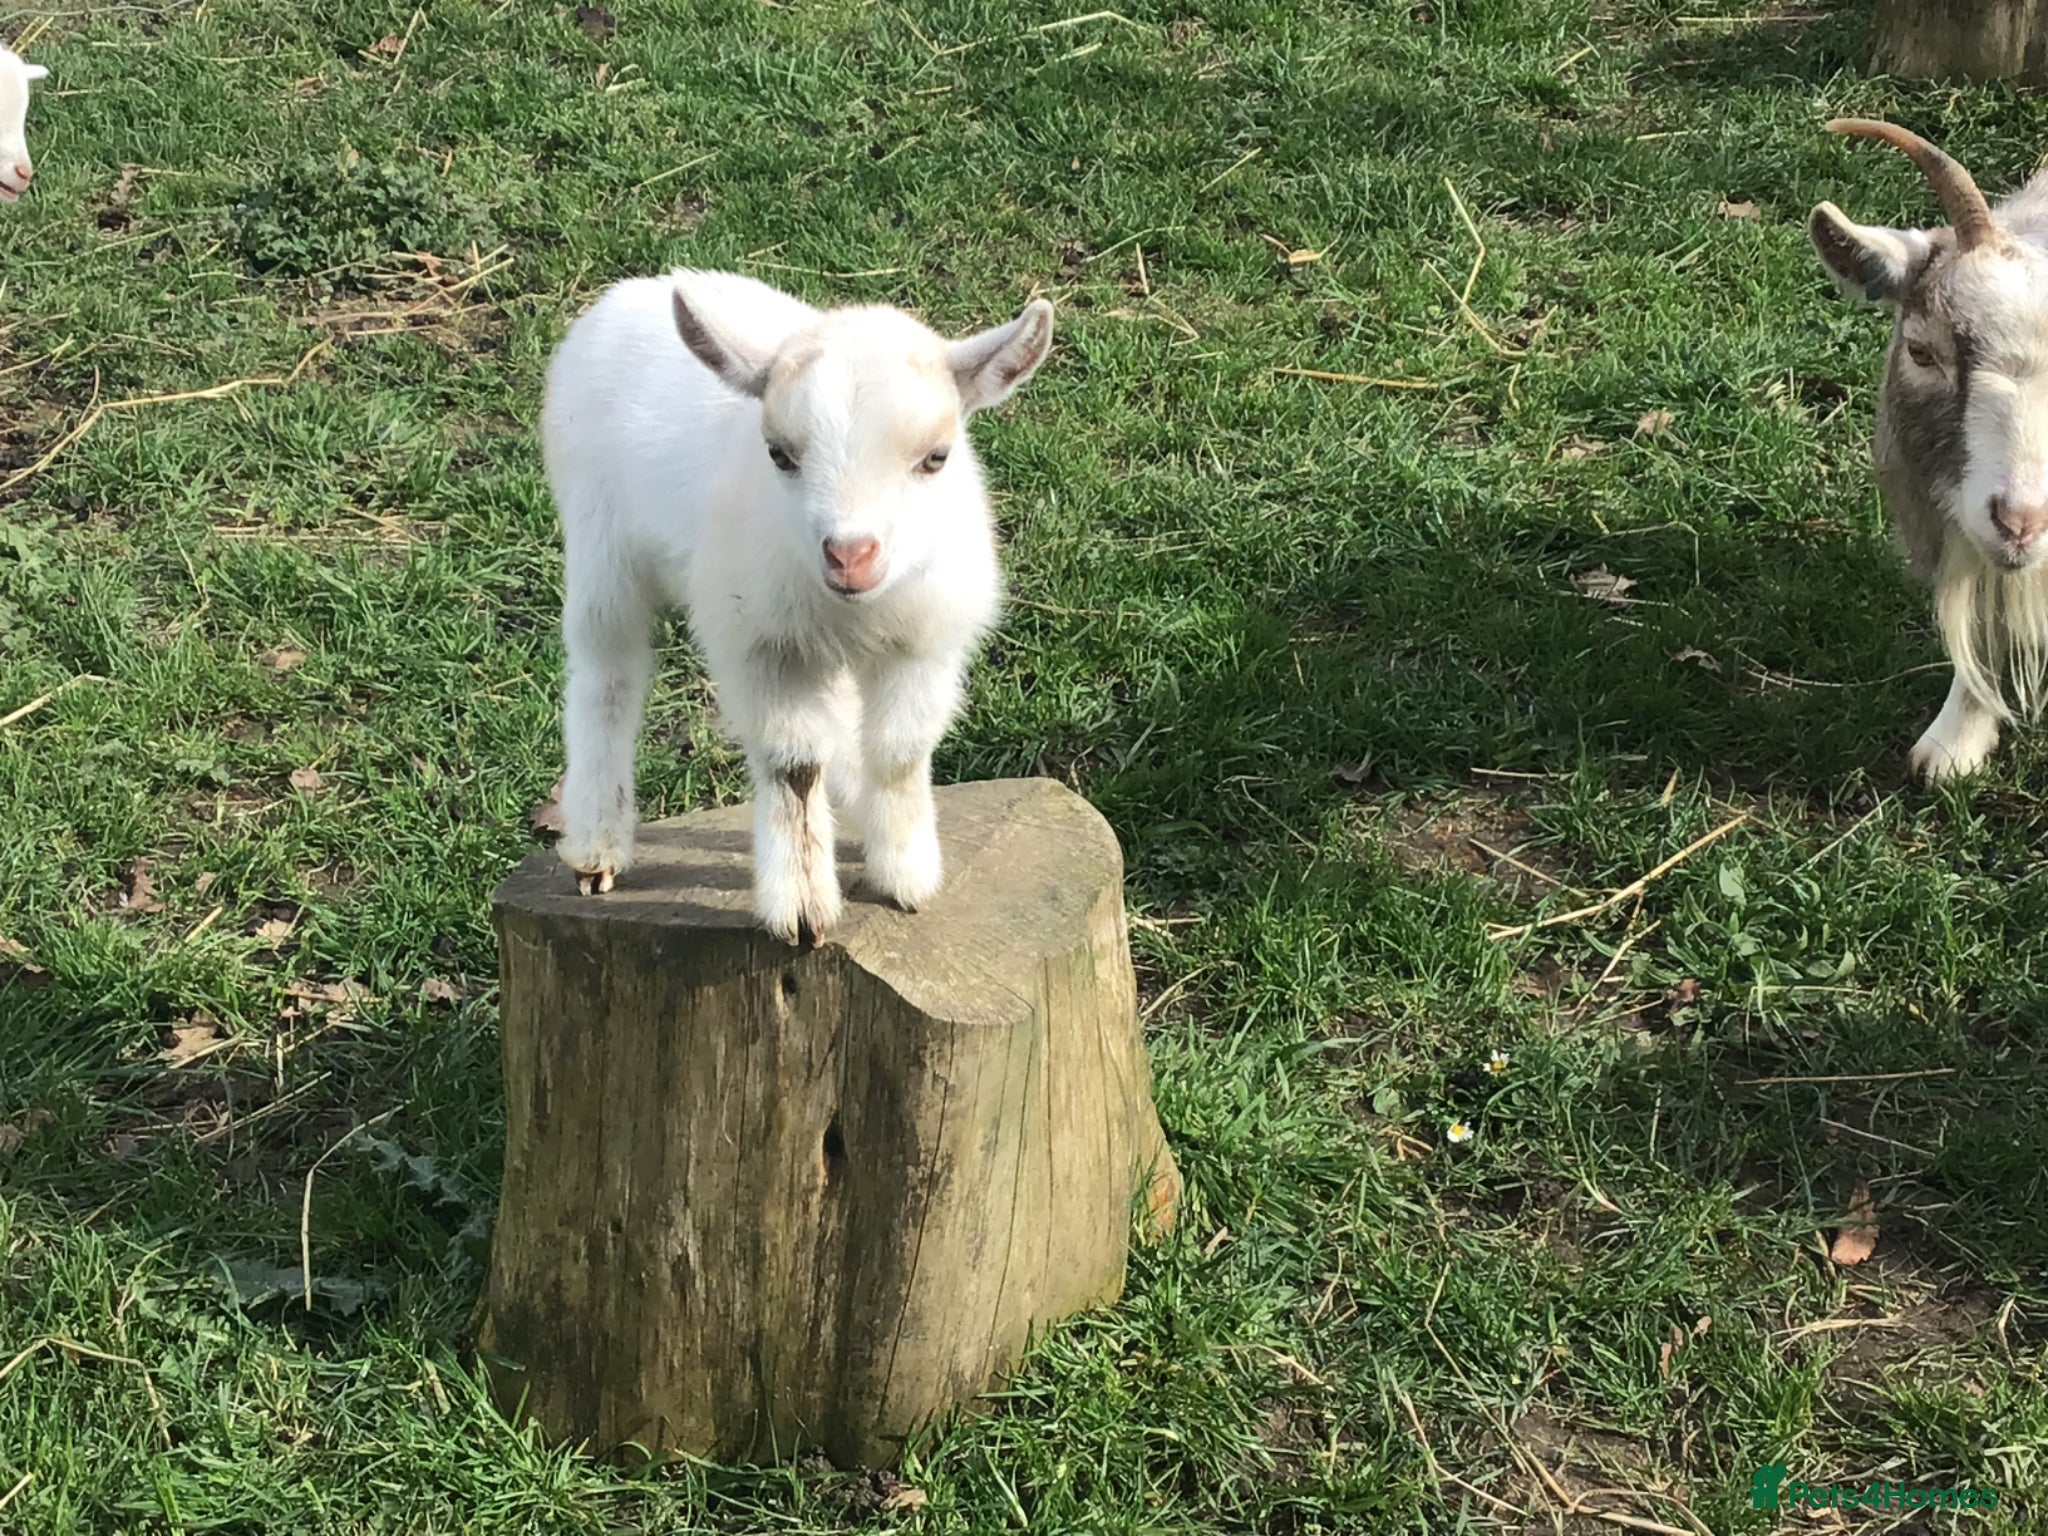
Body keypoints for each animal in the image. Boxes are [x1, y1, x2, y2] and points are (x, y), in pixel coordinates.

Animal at [542, 270, 1053, 943]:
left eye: (936, 457)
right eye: (779, 455)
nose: (850, 555)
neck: (857, 607)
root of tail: (636, 288)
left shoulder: (925, 644)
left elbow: (901, 750)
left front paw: (907, 874)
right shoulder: (761, 644)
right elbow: (793, 766)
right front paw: (803, 909)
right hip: (599, 541)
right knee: (606, 678)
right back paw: (596, 844)